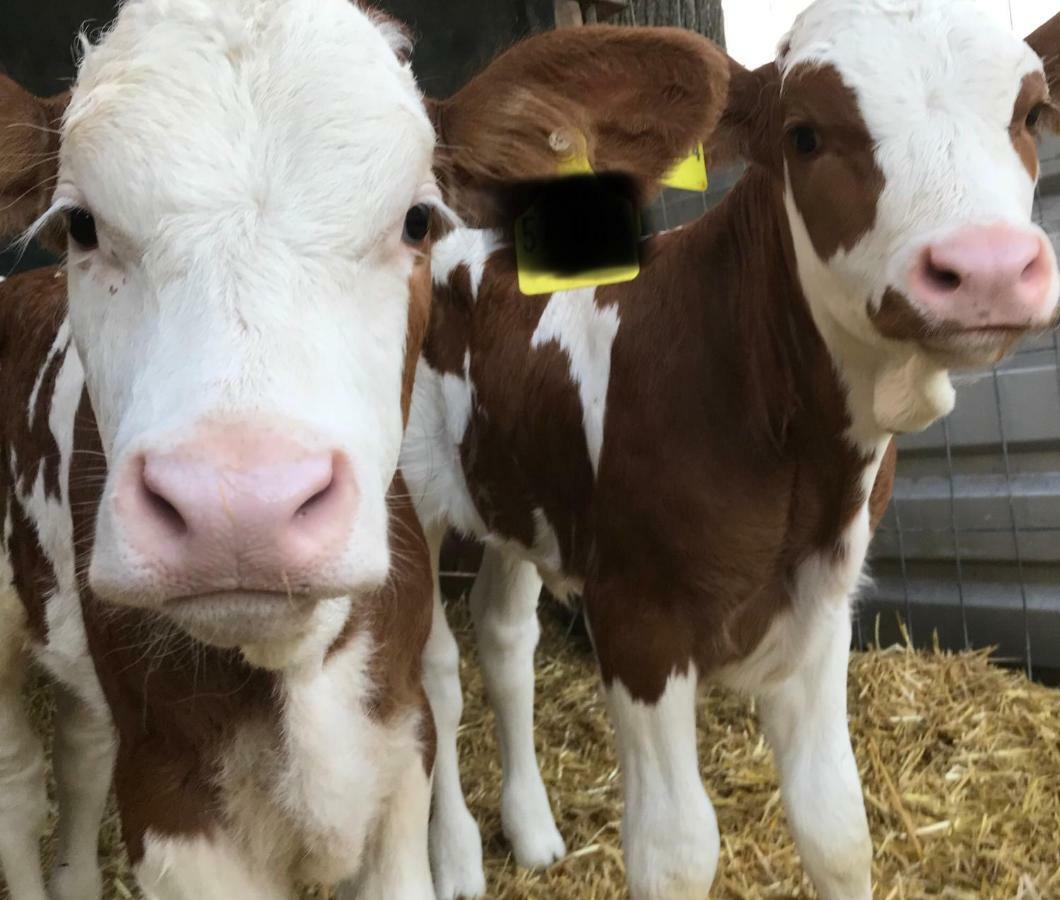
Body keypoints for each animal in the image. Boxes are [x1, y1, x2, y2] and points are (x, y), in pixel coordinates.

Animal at [402, 3, 1060, 894]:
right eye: (803, 134)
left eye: (1032, 112)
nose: (987, 267)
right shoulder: (637, 619)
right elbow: (675, 852)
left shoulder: (822, 599)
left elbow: (837, 825)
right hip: (406, 498)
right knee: (435, 672)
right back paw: (457, 856)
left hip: (514, 484)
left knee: (504, 640)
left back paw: (531, 828)